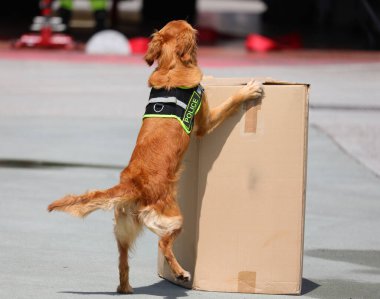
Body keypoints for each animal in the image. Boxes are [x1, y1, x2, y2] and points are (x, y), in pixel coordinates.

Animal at [47, 19, 262, 294]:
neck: (171, 66)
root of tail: (132, 184)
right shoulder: (205, 121)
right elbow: (229, 103)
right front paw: (249, 90)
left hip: (123, 231)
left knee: (123, 263)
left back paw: (125, 288)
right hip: (174, 218)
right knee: (163, 244)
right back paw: (180, 272)